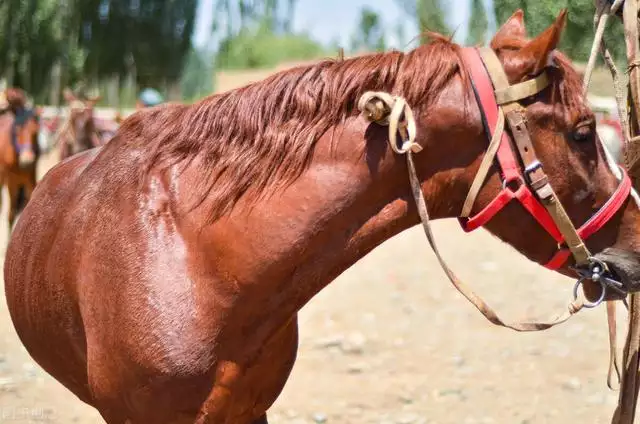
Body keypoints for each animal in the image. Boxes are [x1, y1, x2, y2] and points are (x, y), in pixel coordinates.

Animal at [0, 87, 40, 232]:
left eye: (35, 132)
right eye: (17, 131)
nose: (27, 160)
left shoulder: (31, 177)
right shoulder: (11, 180)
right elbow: (11, 214)